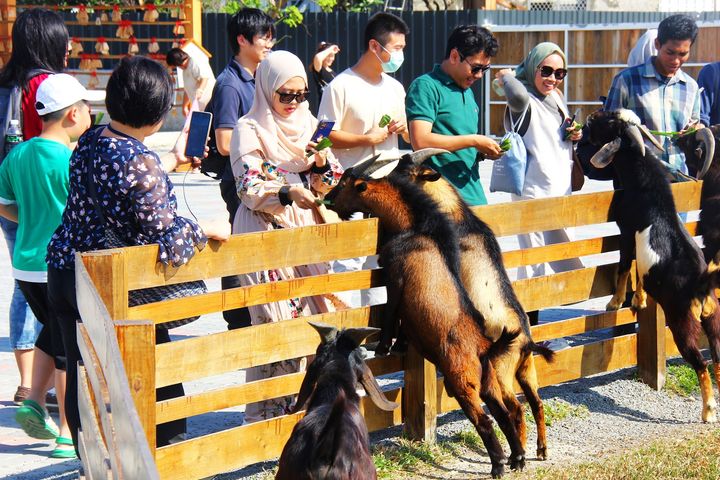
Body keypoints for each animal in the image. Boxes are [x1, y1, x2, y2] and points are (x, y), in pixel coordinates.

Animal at [324, 157, 524, 476]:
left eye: (345, 184)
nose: (328, 199)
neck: (415, 228)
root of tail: (484, 348)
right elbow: (404, 327)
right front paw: (400, 345)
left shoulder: (395, 277)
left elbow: (391, 313)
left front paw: (384, 347)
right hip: (489, 383)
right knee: (503, 413)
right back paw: (517, 458)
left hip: (463, 382)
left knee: (484, 419)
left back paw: (498, 466)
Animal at [390, 152, 556, 460]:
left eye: (405, 170)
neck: (458, 216)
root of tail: (527, 342)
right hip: (527, 370)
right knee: (536, 402)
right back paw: (541, 450)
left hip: (501, 371)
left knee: (516, 408)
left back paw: (518, 454)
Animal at [592, 109, 720, 424]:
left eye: (609, 122)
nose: (589, 117)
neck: (645, 184)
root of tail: (701, 285)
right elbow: (639, 272)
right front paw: (638, 300)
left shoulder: (626, 232)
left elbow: (624, 266)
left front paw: (614, 303)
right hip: (713, 319)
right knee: (717, 357)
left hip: (682, 323)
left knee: (700, 363)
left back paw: (708, 411)